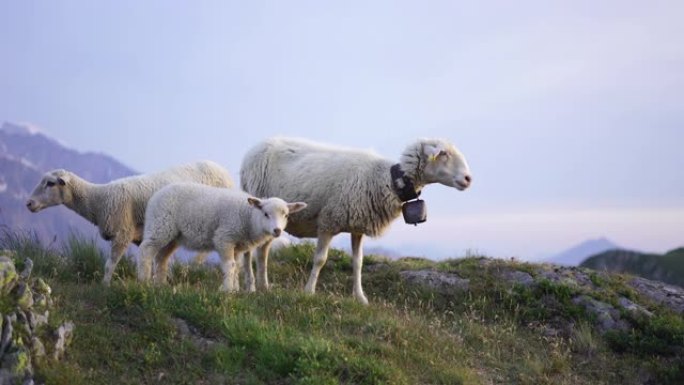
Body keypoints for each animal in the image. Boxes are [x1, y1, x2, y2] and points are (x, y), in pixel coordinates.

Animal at [25, 160, 234, 284]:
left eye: (50, 183)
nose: (29, 203)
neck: (100, 200)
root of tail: (224, 172)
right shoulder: (138, 237)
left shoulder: (123, 234)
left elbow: (110, 264)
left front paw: (105, 286)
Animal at [138, 183, 306, 292]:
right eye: (266, 214)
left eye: (286, 215)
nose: (277, 230)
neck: (248, 216)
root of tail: (157, 194)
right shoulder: (224, 237)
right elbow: (229, 265)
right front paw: (226, 289)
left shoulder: (238, 245)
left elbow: (236, 266)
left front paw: (235, 288)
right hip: (160, 224)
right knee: (146, 249)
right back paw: (144, 280)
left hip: (173, 235)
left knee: (161, 257)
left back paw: (161, 284)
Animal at [239, 137, 470, 304]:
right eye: (443, 153)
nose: (469, 179)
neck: (387, 180)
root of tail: (252, 150)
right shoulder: (328, 221)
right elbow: (320, 259)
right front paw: (308, 291)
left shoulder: (357, 226)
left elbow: (358, 263)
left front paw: (360, 298)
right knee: (250, 250)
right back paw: (251, 286)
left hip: (272, 220)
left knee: (263, 251)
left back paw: (264, 286)